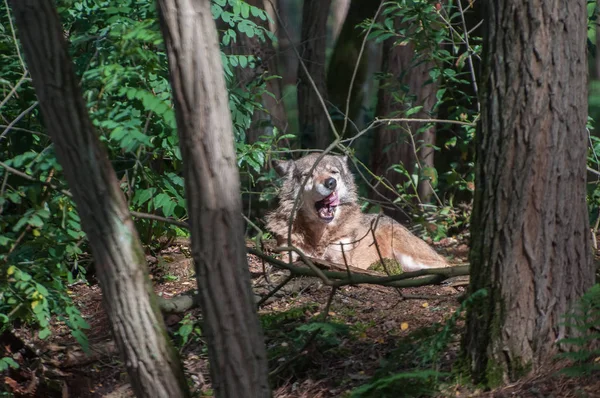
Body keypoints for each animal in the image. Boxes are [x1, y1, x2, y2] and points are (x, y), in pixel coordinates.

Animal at [264, 154, 448, 272]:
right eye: (308, 175)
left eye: (334, 172)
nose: (331, 182)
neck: (319, 236)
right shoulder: (290, 253)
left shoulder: (341, 260)